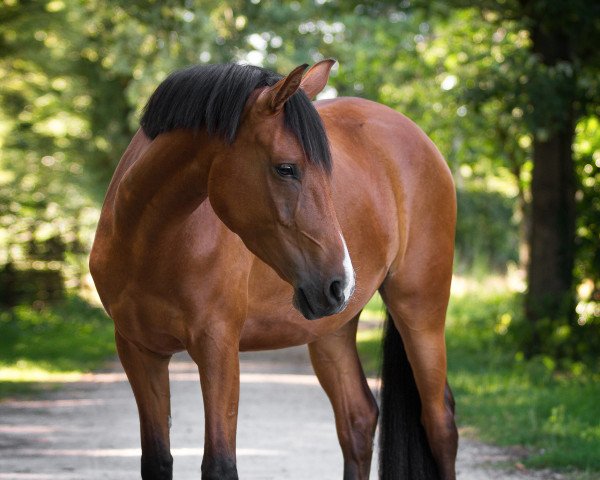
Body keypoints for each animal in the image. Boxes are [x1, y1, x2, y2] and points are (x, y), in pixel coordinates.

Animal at [89, 61, 458, 480]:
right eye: (286, 168)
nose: (340, 283)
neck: (149, 243)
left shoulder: (218, 350)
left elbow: (219, 465)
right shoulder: (140, 352)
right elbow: (157, 461)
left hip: (420, 312)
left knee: (440, 423)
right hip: (331, 332)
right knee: (358, 421)